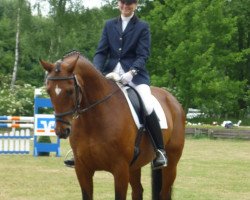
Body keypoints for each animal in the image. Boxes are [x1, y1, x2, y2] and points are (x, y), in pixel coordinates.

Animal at [40, 51, 186, 200]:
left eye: (70, 90)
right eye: (49, 91)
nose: (61, 131)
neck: (93, 122)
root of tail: (172, 98)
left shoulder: (120, 169)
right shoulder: (82, 169)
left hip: (171, 163)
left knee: (164, 192)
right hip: (134, 166)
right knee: (137, 191)